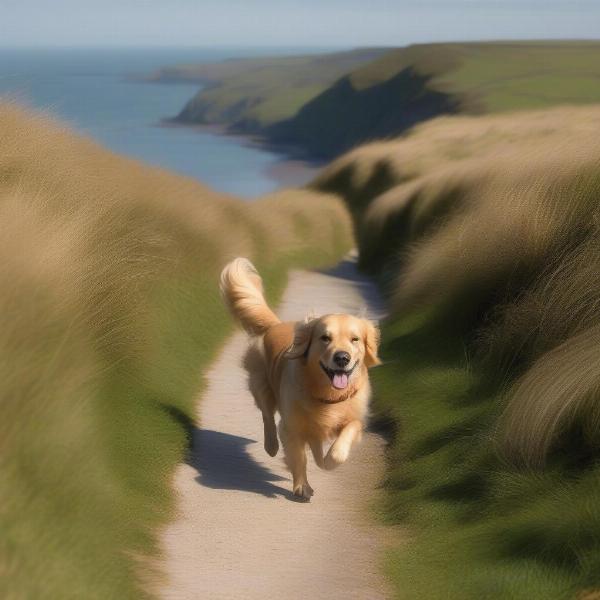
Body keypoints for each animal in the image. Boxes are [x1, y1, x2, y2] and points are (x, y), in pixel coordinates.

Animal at [219, 258, 380, 502]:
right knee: (267, 415)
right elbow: (298, 457)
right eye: (325, 338)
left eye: (355, 339)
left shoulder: (353, 418)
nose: (342, 358)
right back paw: (271, 445)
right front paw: (302, 487)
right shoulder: (292, 427)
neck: (327, 394)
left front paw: (330, 459)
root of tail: (275, 324)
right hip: (261, 384)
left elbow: (344, 438)